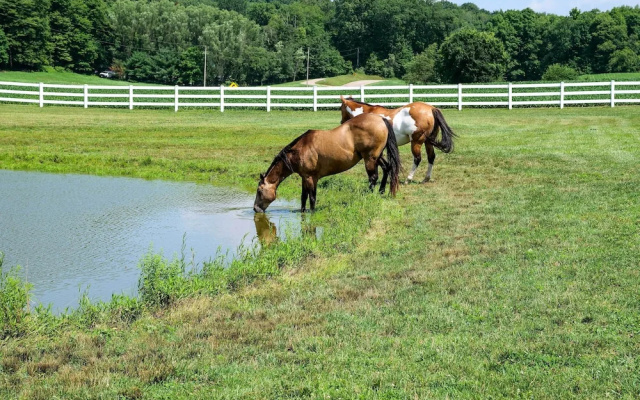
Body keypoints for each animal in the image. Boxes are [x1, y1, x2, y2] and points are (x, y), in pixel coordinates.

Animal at [253, 113, 401, 213]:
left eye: (259, 191)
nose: (255, 209)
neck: (300, 150)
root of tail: (381, 119)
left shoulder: (311, 178)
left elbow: (312, 198)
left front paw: (312, 213)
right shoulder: (304, 177)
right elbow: (303, 197)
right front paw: (302, 213)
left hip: (370, 158)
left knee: (373, 177)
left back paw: (367, 195)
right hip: (377, 156)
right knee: (387, 168)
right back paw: (381, 191)